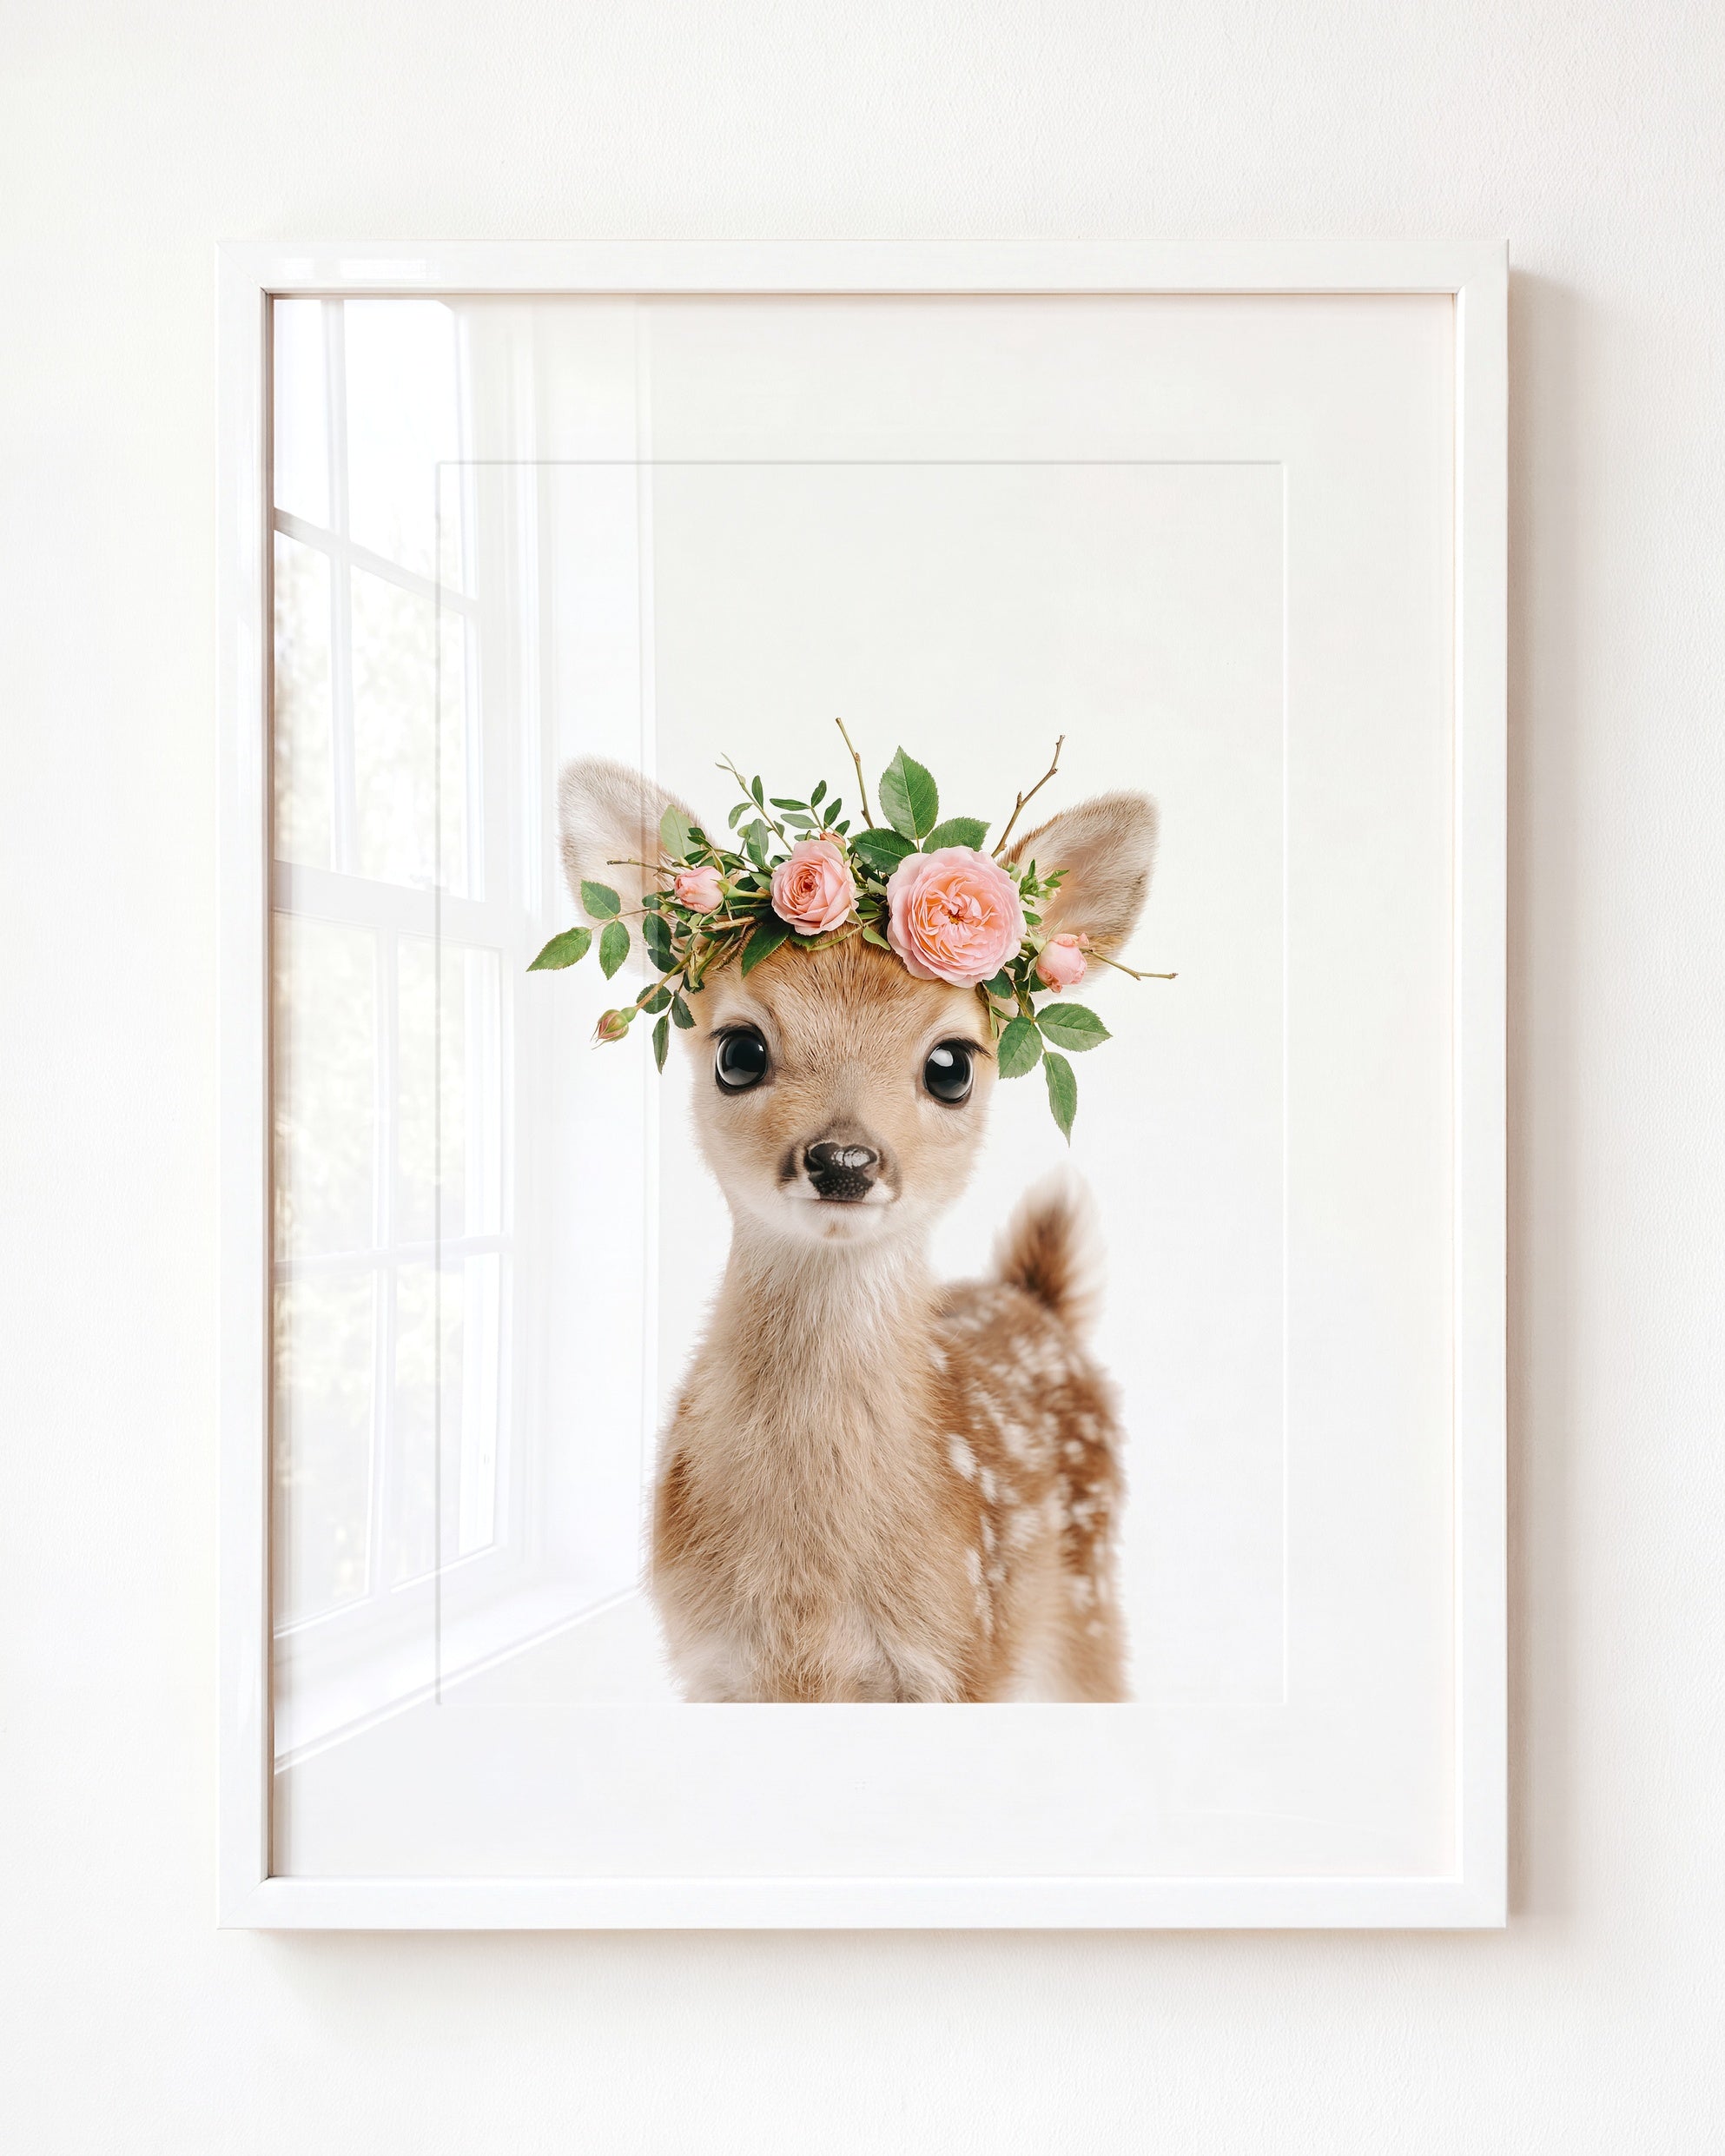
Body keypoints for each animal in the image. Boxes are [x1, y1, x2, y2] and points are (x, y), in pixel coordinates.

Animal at [558, 756, 1158, 1702]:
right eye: (738, 1052)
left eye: (952, 1065)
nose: (843, 1158)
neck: (809, 1596)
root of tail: (1037, 1300)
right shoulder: (712, 1663)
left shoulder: (960, 1652)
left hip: (1085, 1603)